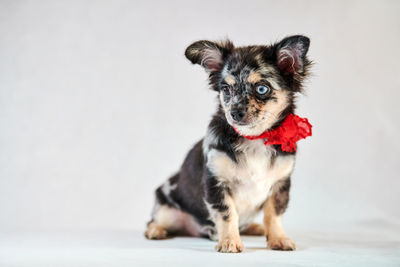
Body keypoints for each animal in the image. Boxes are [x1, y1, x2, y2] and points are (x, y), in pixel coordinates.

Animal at [144, 35, 312, 253]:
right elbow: (227, 214)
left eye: (262, 89)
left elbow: (273, 215)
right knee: (152, 221)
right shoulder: (217, 182)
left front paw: (278, 238)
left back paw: (254, 227)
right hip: (166, 210)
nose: (234, 113)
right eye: (226, 89)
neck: (254, 139)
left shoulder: (280, 185)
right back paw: (156, 230)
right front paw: (229, 241)